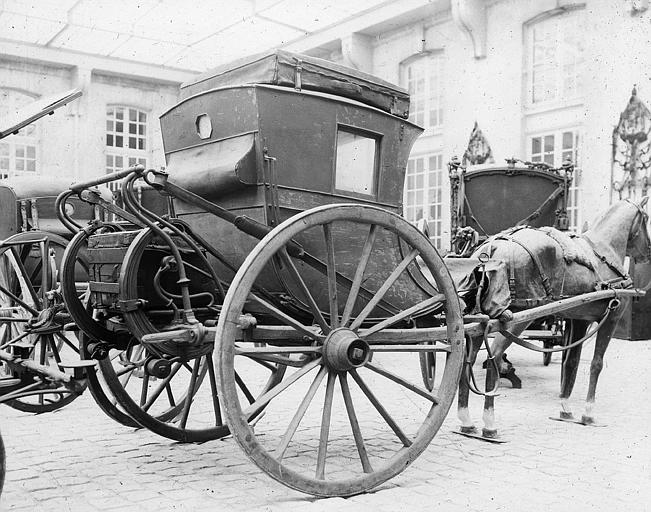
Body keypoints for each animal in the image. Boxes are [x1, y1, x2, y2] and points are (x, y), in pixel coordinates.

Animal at [458, 198, 651, 438]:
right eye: (646, 219)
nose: (648, 252)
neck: (602, 251)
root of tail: (493, 246)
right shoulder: (611, 319)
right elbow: (596, 364)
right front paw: (588, 414)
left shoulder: (580, 321)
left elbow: (571, 363)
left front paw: (565, 409)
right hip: (515, 320)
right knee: (494, 355)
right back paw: (489, 423)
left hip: (480, 321)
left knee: (468, 356)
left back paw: (466, 420)